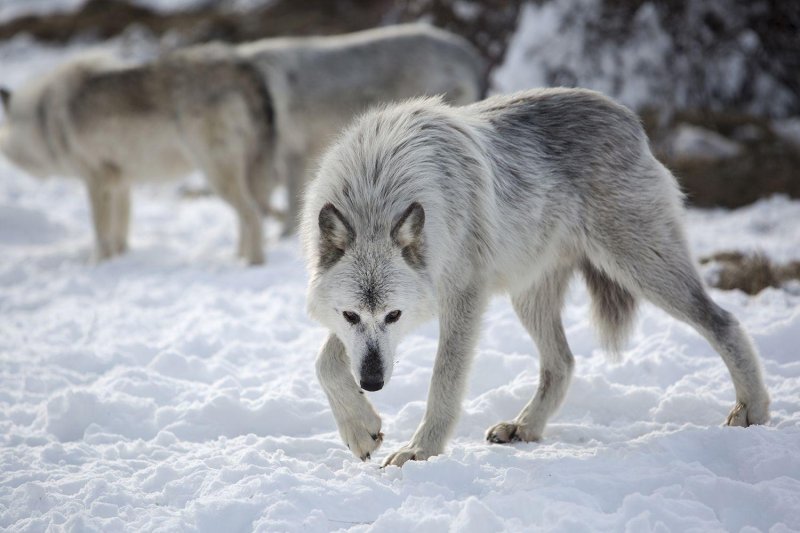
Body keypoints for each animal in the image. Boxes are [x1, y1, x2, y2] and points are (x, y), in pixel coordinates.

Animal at [1, 23, 482, 262]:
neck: (44, 114)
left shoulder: (97, 181)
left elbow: (101, 235)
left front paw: (99, 265)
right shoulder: (120, 184)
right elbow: (119, 233)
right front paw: (120, 261)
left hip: (218, 173)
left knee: (251, 215)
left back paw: (250, 263)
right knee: (251, 216)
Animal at [300, 87, 768, 466]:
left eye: (393, 315)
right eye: (350, 316)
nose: (373, 382)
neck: (377, 183)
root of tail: (627, 116)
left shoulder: (464, 299)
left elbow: (444, 382)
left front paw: (420, 451)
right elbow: (324, 363)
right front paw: (361, 430)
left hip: (641, 267)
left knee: (723, 321)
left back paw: (753, 411)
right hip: (529, 296)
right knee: (562, 362)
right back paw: (525, 428)